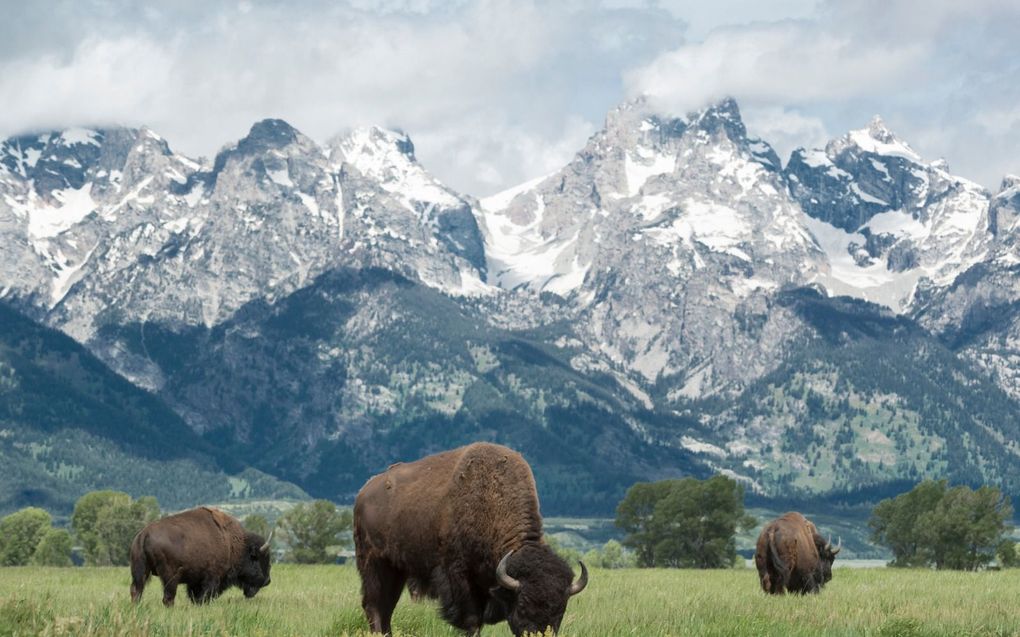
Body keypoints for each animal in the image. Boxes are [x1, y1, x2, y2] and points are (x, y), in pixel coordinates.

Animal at [129, 503, 273, 603]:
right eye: (259, 560)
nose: (268, 581)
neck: (234, 545)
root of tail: (144, 534)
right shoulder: (212, 578)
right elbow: (204, 596)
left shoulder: (195, 581)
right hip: (170, 576)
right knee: (168, 597)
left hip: (140, 571)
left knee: (136, 591)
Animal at [352, 442, 587, 635]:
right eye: (522, 604)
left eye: (561, 609)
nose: (539, 632)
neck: (492, 500)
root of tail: (363, 493)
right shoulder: (460, 577)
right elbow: (472, 620)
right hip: (374, 563)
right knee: (374, 604)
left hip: (397, 569)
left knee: (387, 606)